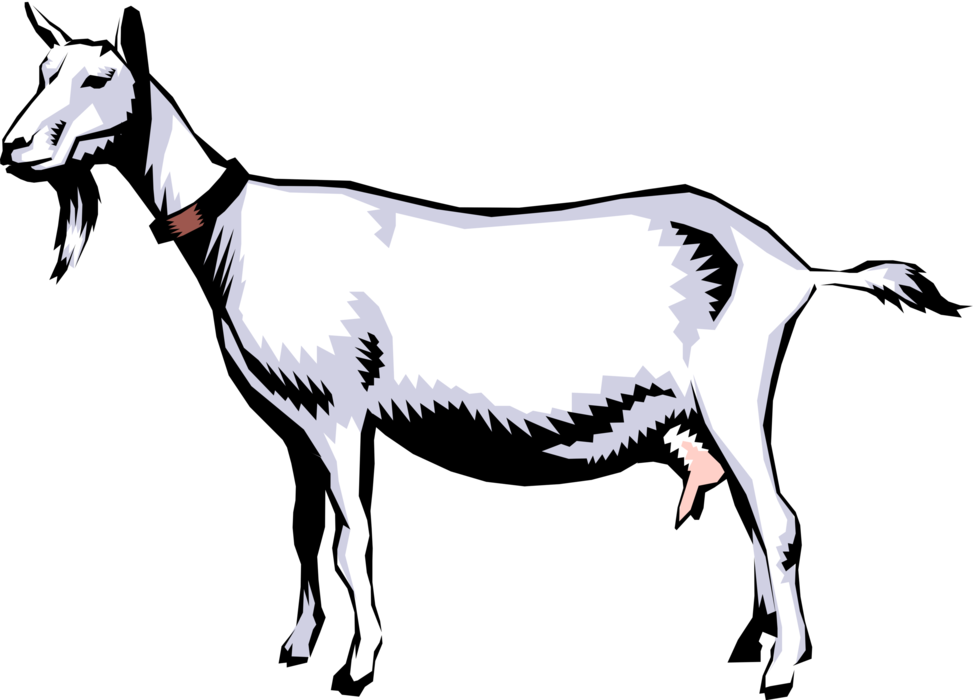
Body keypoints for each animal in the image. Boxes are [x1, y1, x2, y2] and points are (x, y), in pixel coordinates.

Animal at [5, 2, 921, 688]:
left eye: (98, 77)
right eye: (45, 73)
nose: (17, 146)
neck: (238, 232)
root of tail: (790, 266)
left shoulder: (341, 403)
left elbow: (351, 534)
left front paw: (363, 657)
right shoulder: (294, 416)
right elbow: (306, 528)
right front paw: (299, 645)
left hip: (733, 387)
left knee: (779, 517)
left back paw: (783, 666)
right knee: (752, 517)